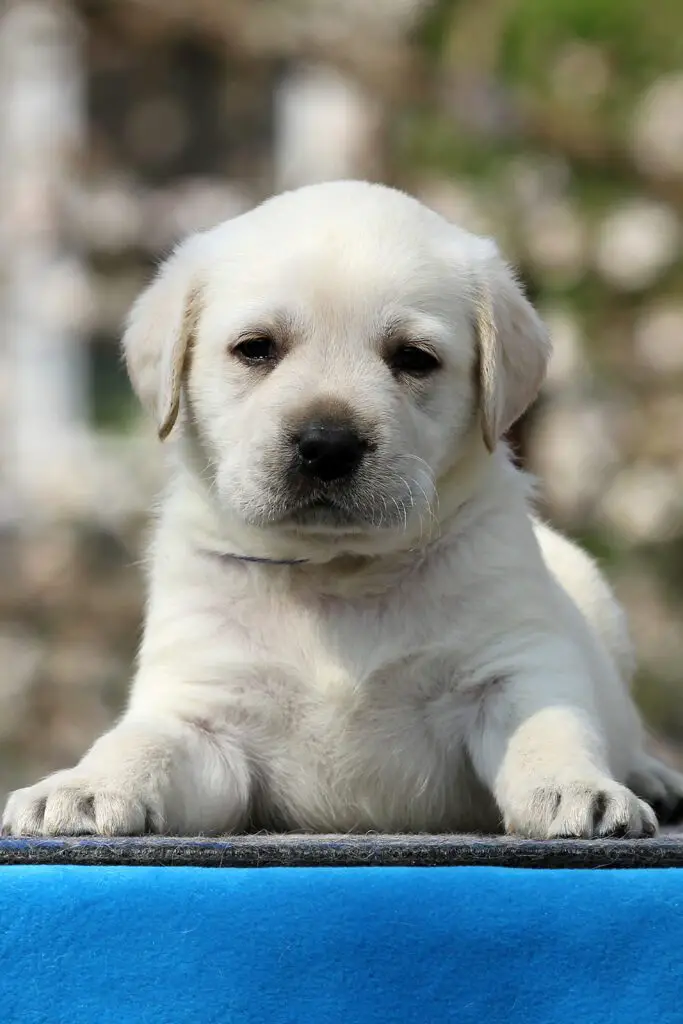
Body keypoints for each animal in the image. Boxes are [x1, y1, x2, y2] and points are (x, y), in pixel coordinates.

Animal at [2, 182, 679, 839]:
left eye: (414, 358)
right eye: (255, 349)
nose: (328, 444)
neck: (338, 573)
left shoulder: (512, 668)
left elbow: (550, 728)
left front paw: (578, 789)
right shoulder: (203, 713)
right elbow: (142, 744)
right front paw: (83, 787)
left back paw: (651, 777)